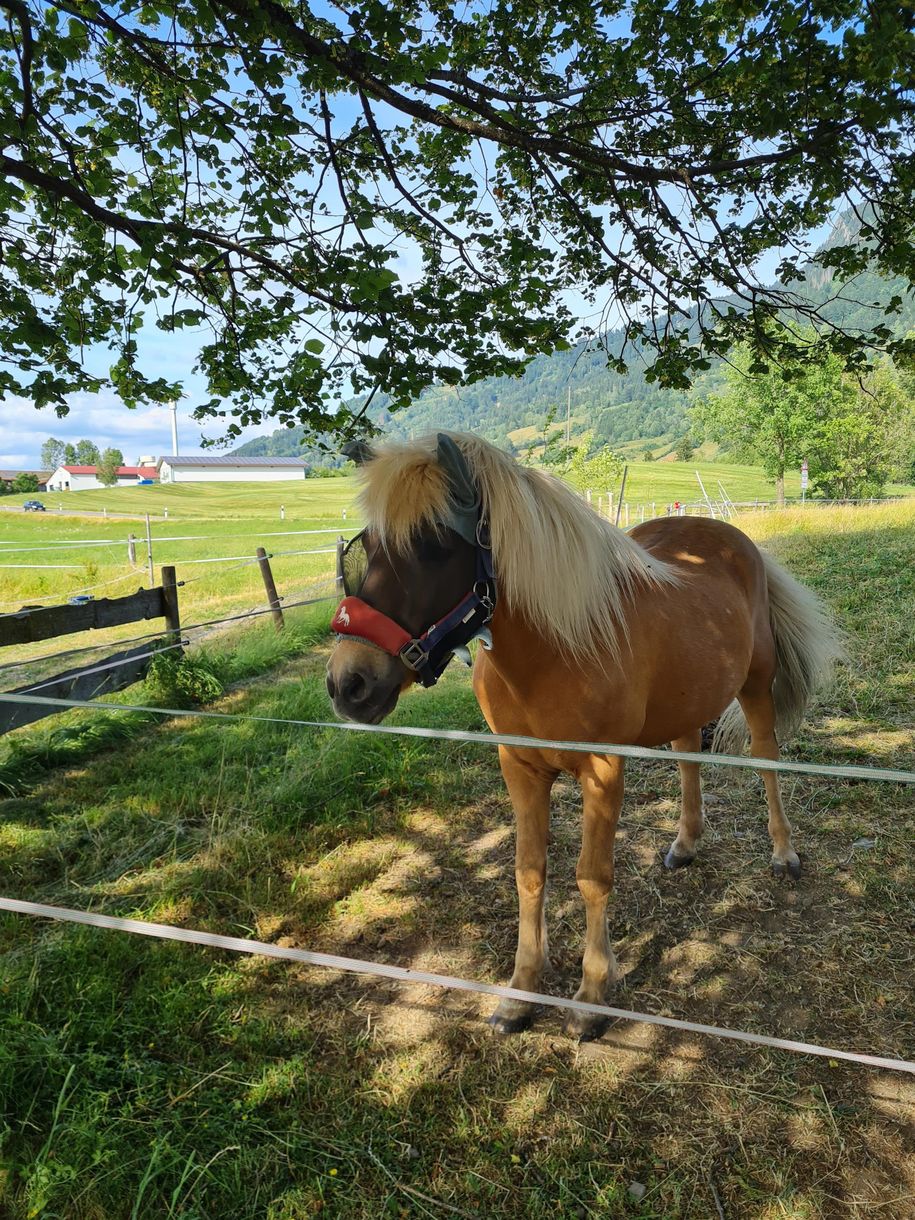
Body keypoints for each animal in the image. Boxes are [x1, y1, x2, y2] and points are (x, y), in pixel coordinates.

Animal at [326, 431, 844, 1039]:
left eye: (431, 545)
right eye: (364, 546)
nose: (348, 683)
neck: (556, 650)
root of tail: (735, 540)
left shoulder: (602, 770)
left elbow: (592, 877)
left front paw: (593, 995)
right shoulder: (520, 769)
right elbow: (529, 872)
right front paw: (521, 992)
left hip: (757, 685)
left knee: (766, 758)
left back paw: (784, 853)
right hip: (687, 700)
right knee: (688, 757)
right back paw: (686, 843)